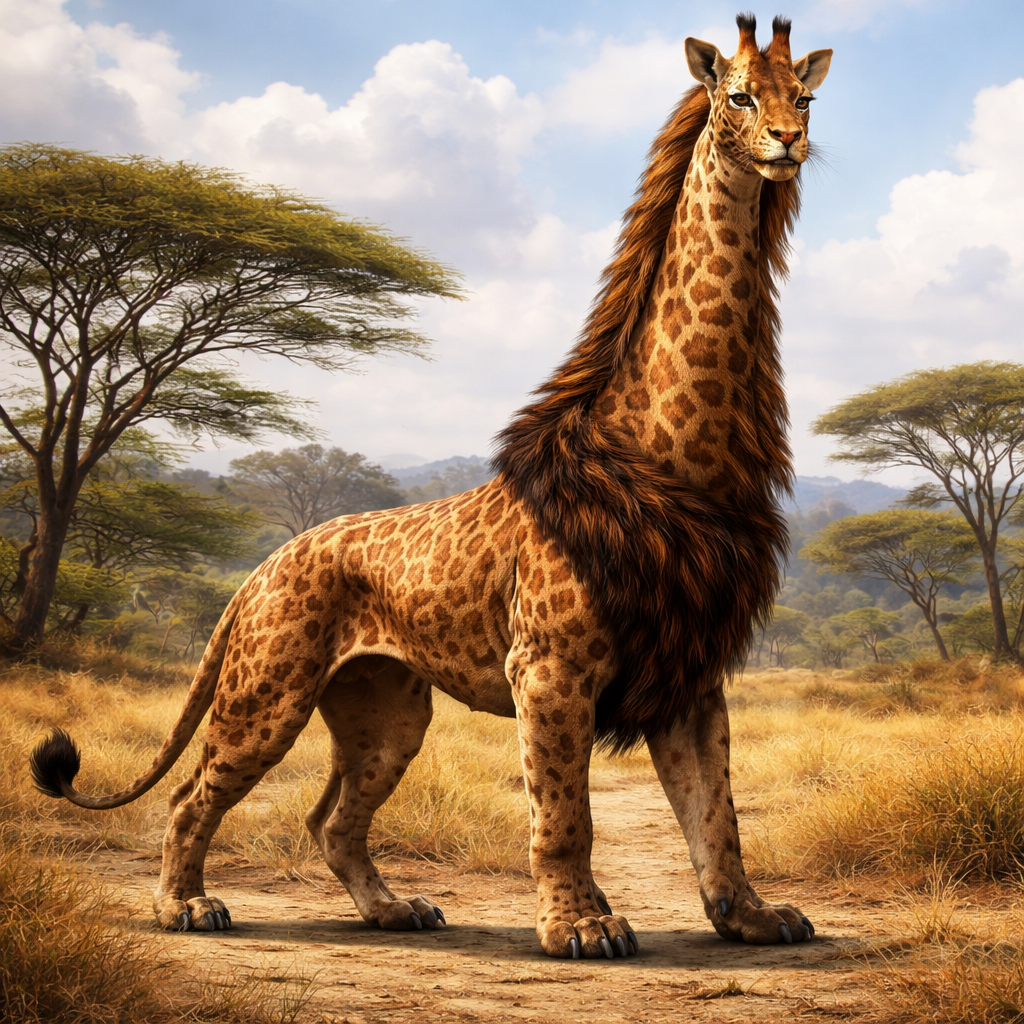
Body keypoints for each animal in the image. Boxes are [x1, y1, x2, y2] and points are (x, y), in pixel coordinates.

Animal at [31, 14, 831, 960]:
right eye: (738, 97)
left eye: (803, 97)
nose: (787, 142)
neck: (680, 449)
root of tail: (265, 562)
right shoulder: (549, 667)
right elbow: (564, 816)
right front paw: (580, 925)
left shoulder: (691, 670)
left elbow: (717, 815)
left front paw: (751, 917)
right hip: (269, 690)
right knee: (196, 796)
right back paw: (184, 907)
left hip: (387, 713)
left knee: (331, 819)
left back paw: (392, 909)